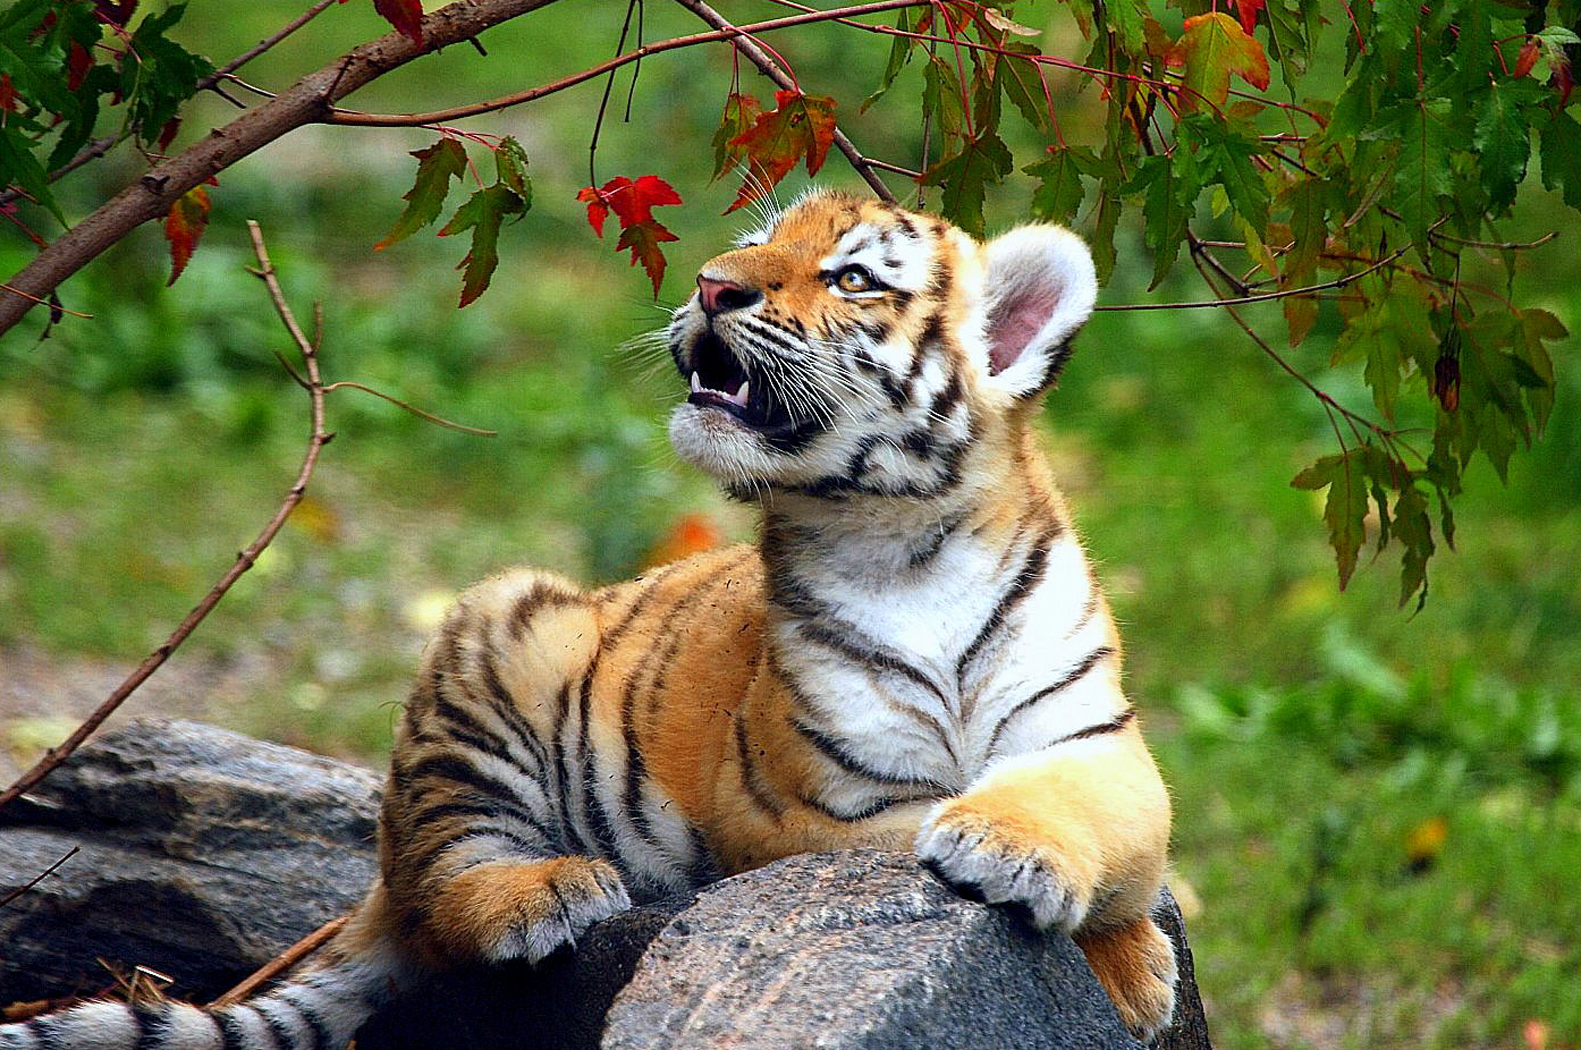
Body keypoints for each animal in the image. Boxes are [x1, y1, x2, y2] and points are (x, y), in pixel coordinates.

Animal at [0, 188, 1182, 1050]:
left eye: (850, 277)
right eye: (755, 241)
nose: (711, 284)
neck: (906, 542)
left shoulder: (1098, 741)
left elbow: (1105, 828)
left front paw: (1109, 943)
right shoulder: (811, 806)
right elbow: (916, 828)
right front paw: (1109, 951)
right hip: (497, 642)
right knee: (443, 887)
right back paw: (549, 892)